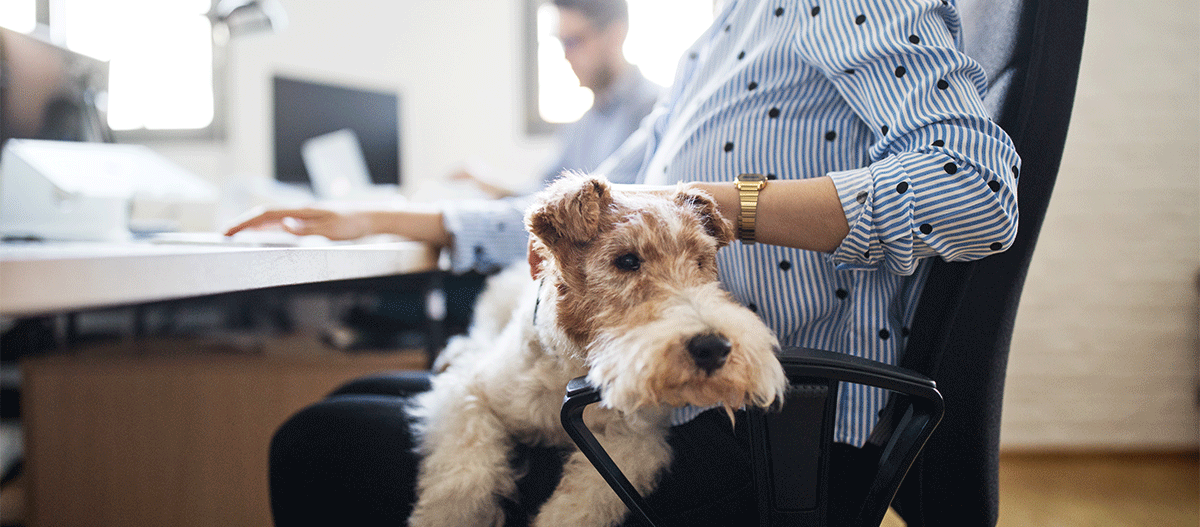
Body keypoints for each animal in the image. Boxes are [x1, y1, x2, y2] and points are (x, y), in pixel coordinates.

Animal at [408, 174, 792, 527]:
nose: (713, 348)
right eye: (627, 260)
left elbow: (579, 505)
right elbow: (462, 479)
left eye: (701, 261)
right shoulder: (469, 394)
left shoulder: (634, 442)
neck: (574, 366)